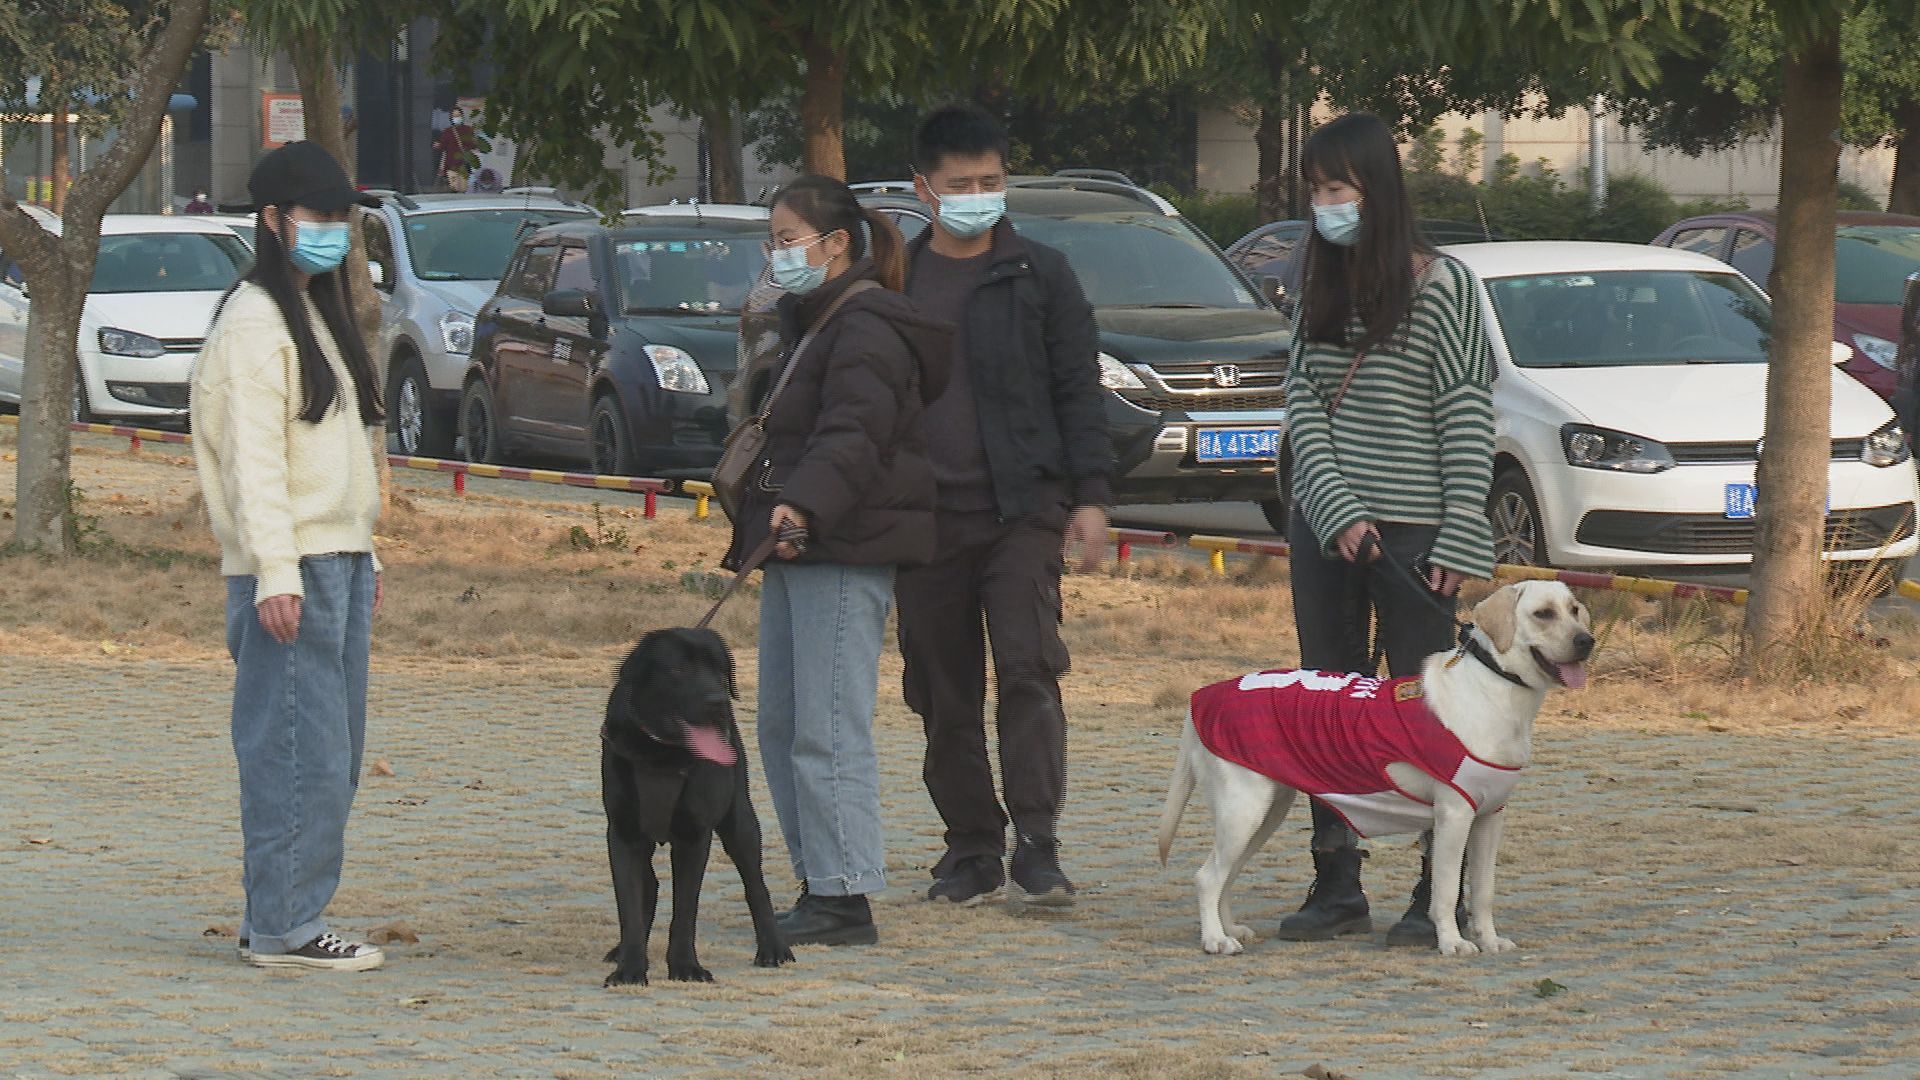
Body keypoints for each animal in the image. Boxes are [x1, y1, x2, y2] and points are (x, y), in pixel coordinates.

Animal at [591, 622, 787, 983]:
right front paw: (630, 967)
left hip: (741, 820)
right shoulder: (623, 834)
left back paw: (773, 948)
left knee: (756, 885)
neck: (661, 754)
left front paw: (685, 966)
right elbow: (629, 905)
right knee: (650, 885)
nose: (718, 701)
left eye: (720, 670)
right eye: (678, 670)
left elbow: (685, 909)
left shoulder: (695, 835)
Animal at [1159, 580, 1597, 949]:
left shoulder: (1491, 817)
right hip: (1243, 811)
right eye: (1543, 614)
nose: (1587, 640)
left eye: (1574, 609)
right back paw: (1215, 940)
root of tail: (1204, 696)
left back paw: (1229, 928)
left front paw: (1489, 940)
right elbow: (1445, 889)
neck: (1496, 687)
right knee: (1207, 877)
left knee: (1226, 875)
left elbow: (1484, 891)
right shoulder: (1454, 814)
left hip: (1265, 813)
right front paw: (1452, 942)